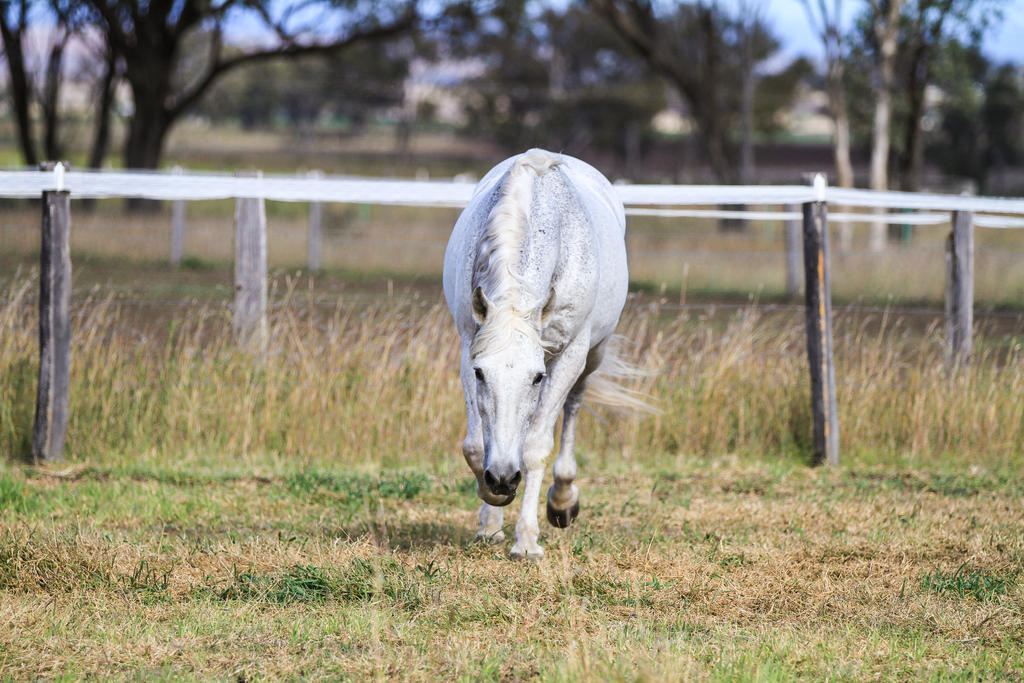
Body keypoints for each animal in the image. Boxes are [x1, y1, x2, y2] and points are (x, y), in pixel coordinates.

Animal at [444, 149, 634, 561]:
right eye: (481, 374)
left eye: (536, 377)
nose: (502, 477)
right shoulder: (468, 345)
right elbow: (475, 445)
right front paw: (490, 511)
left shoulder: (568, 356)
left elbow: (534, 448)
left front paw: (527, 541)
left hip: (592, 356)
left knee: (573, 407)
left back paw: (562, 501)